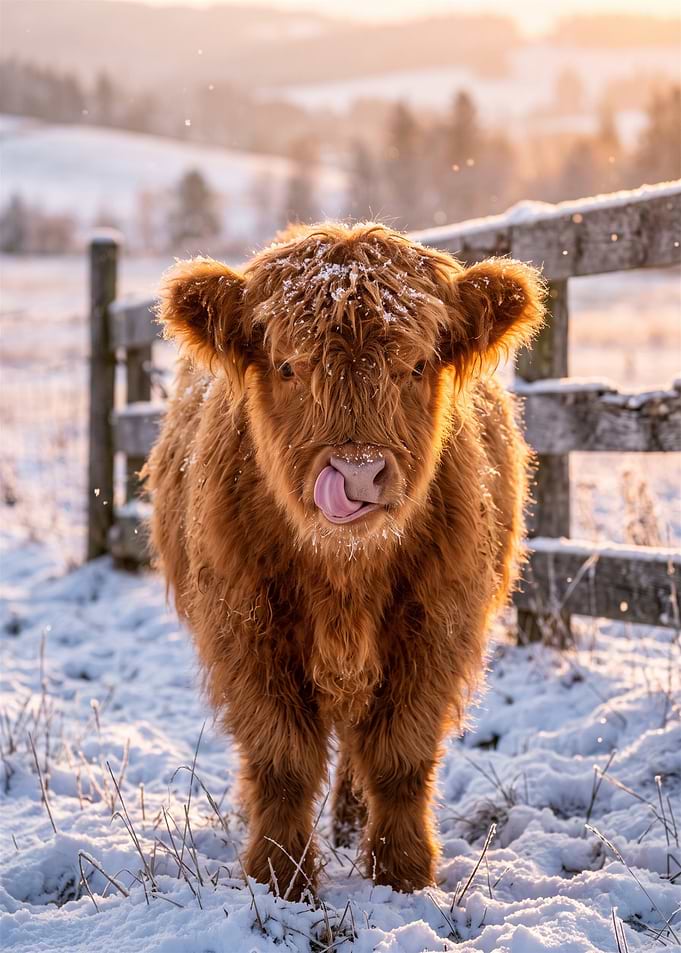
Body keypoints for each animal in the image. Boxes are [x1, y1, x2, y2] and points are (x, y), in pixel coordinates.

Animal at [144, 221, 545, 896]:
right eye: (287, 366)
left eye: (416, 365)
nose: (357, 474)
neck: (345, 572)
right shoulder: (246, 629)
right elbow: (282, 761)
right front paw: (281, 878)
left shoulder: (436, 625)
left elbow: (399, 755)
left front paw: (403, 873)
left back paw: (354, 828)